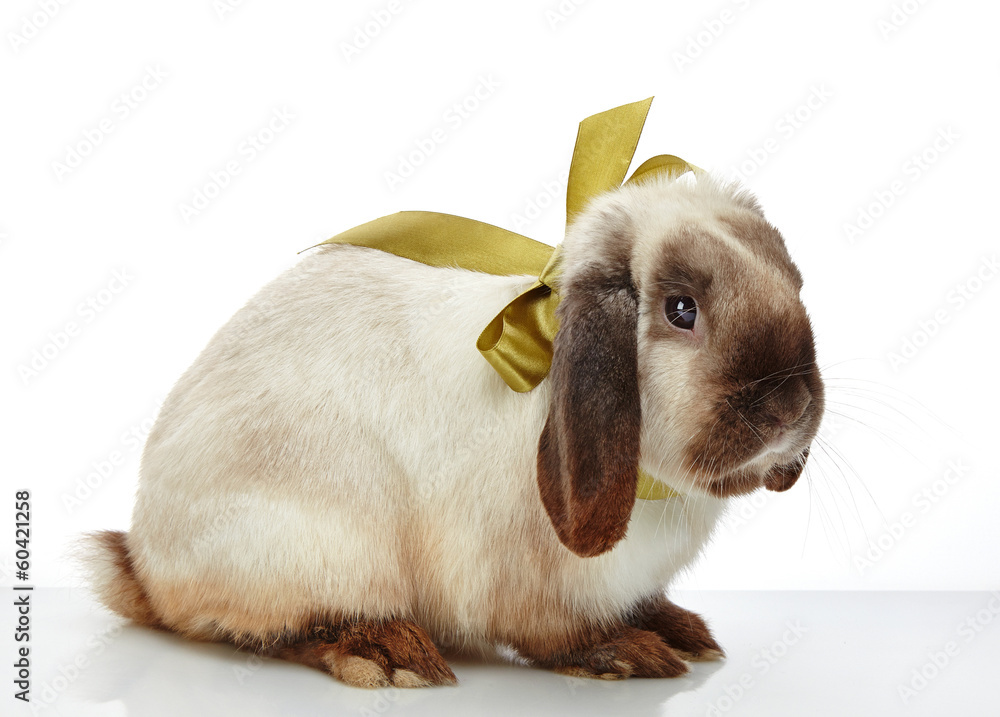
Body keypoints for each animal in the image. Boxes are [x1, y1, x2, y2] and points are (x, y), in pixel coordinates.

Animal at [83, 170, 824, 688]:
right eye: (681, 310)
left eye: (794, 281)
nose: (789, 406)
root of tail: (147, 566)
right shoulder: (522, 584)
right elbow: (554, 634)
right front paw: (622, 652)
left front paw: (676, 630)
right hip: (317, 545)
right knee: (284, 626)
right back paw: (387, 652)